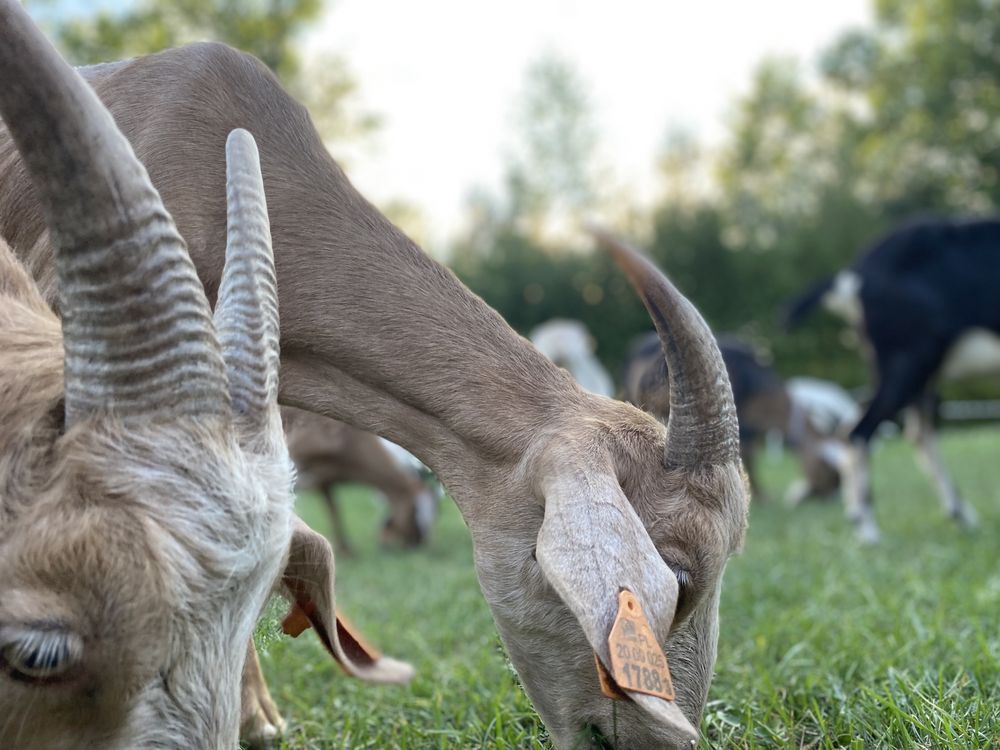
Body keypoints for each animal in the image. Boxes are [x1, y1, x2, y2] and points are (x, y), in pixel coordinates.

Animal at [784, 217, 996, 540]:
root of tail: (854, 275)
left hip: (913, 372)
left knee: (905, 431)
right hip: (908, 361)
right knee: (861, 431)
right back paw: (868, 529)